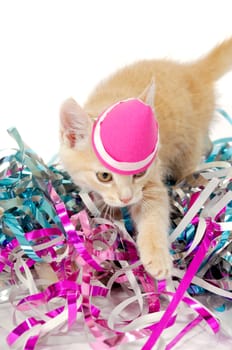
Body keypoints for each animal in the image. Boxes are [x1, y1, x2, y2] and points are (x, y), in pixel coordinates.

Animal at [59, 37, 232, 278]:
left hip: (190, 140)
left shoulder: (152, 184)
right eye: (104, 176)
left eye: (139, 173)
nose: (126, 198)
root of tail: (192, 71)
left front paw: (156, 255)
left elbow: (154, 215)